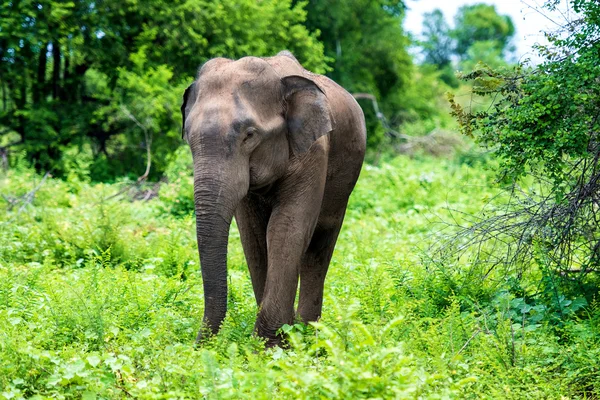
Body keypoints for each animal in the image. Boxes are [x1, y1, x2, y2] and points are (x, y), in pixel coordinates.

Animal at [178, 50, 366, 346]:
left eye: (249, 135)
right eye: (188, 137)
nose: (197, 347)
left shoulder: (313, 151)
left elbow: (285, 229)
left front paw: (269, 347)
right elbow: (253, 237)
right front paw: (277, 340)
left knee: (320, 244)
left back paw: (308, 333)